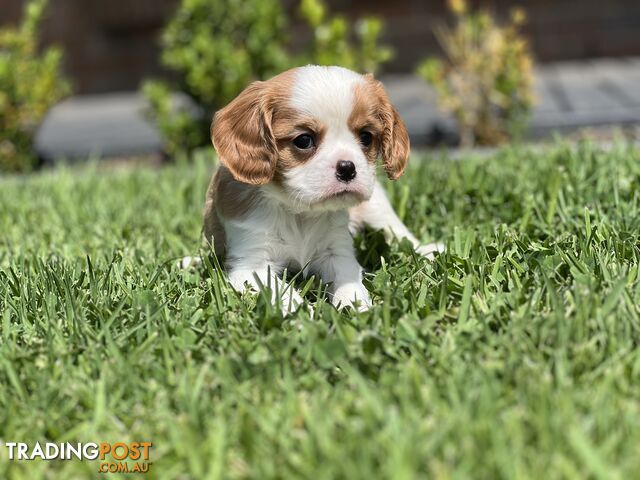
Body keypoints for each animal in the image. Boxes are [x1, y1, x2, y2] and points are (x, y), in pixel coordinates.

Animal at [204, 64, 440, 312]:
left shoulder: (337, 251)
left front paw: (355, 307)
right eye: (303, 140)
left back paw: (429, 249)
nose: (347, 168)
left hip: (377, 206)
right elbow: (280, 291)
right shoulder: (251, 264)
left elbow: (348, 280)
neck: (299, 212)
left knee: (398, 233)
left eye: (366, 137)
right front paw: (299, 313)